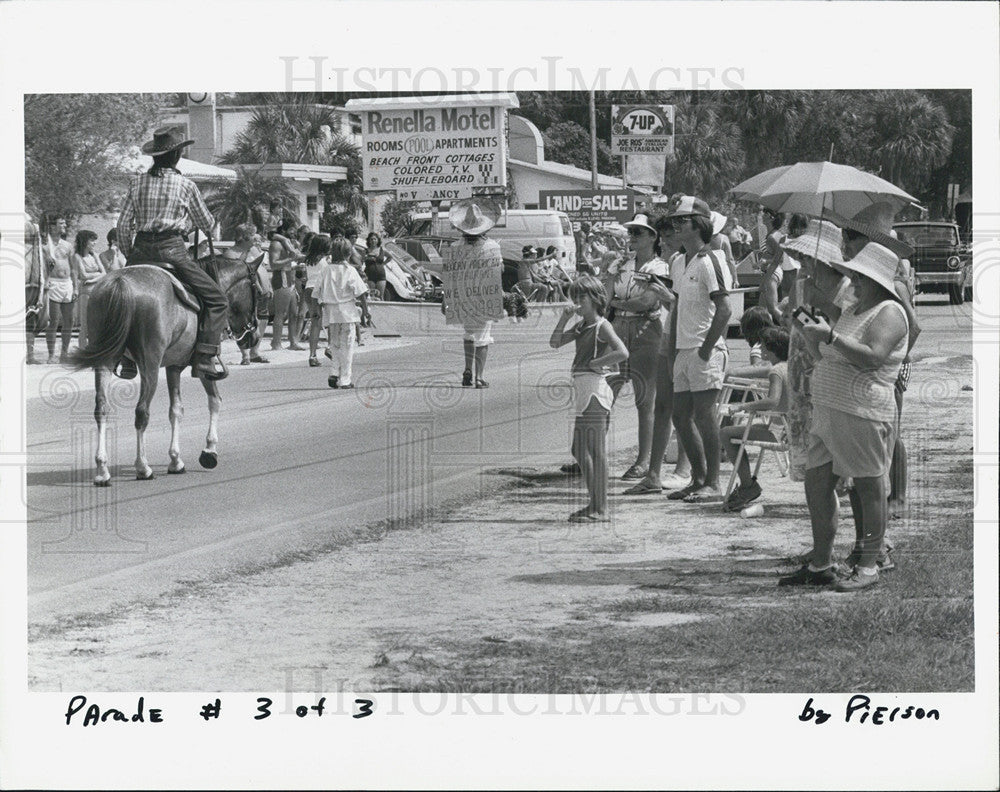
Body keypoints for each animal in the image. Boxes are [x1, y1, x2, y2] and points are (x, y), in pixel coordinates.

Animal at [73, 251, 264, 486]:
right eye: (259, 293)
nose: (253, 337)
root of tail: (120, 282)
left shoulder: (173, 367)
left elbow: (176, 410)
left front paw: (175, 460)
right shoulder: (204, 366)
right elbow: (214, 401)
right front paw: (209, 450)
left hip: (105, 361)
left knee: (101, 409)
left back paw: (102, 470)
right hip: (150, 365)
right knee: (141, 412)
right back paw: (143, 467)